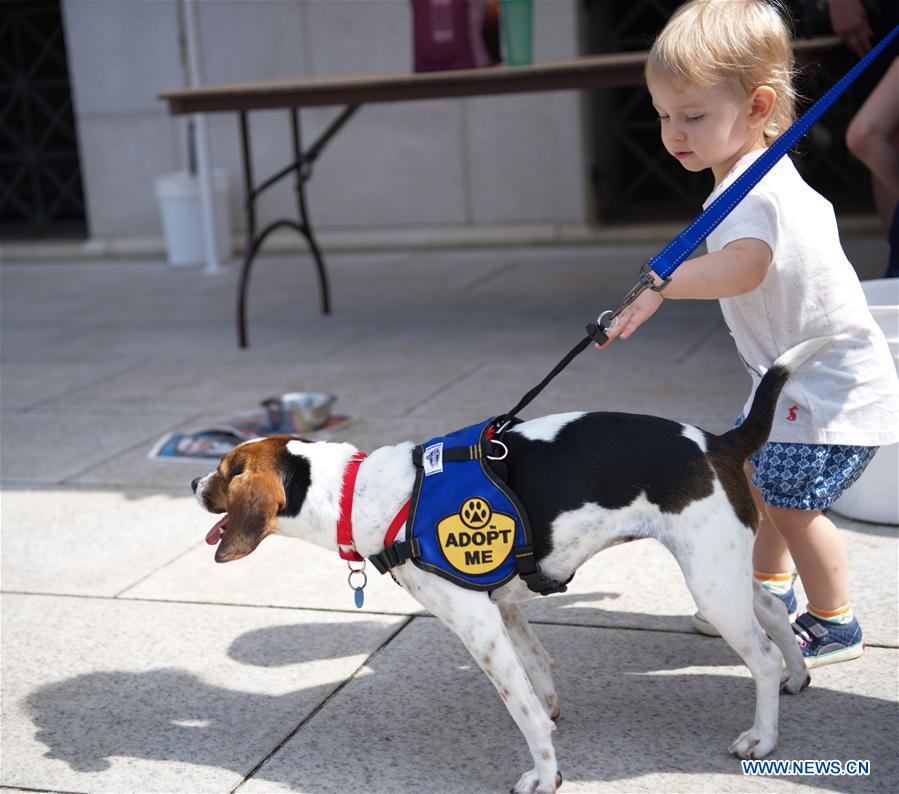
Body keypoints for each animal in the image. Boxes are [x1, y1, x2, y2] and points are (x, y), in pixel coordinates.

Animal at [192, 338, 828, 788]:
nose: (194, 484)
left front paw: (545, 777)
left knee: (762, 657)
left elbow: (519, 707)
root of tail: (720, 441)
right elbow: (538, 676)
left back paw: (764, 737)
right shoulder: (505, 609)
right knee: (774, 609)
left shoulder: (478, 626)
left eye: (222, 471)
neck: (359, 492)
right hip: (721, 571)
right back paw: (799, 676)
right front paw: (550, 724)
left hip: (711, 583)